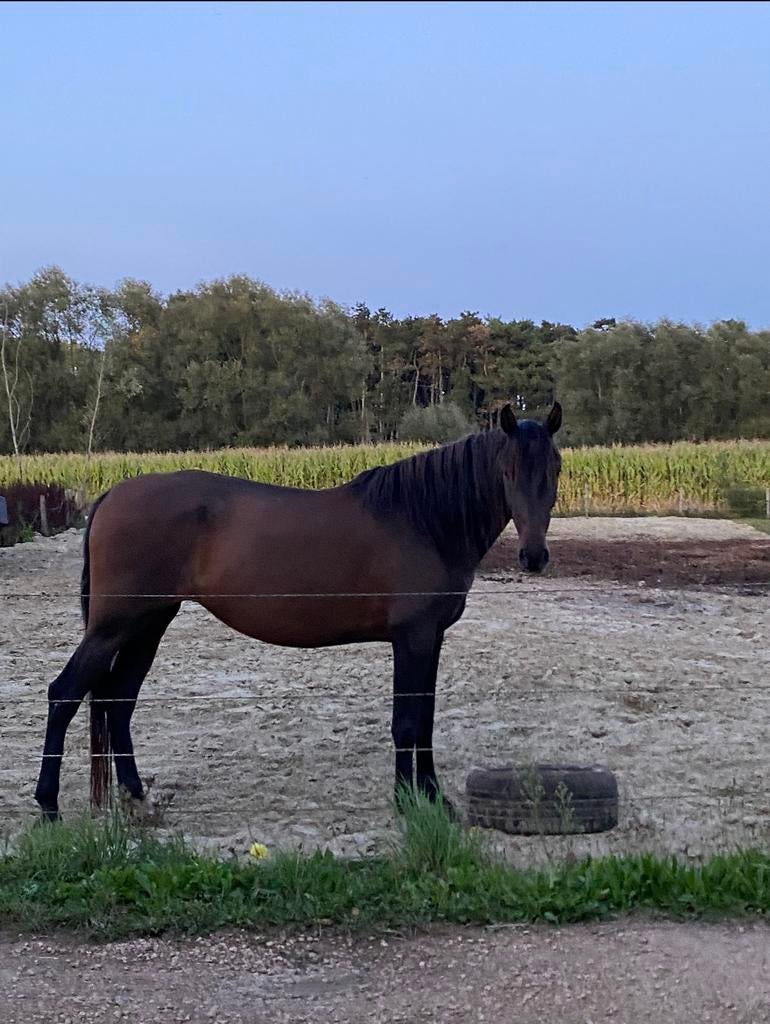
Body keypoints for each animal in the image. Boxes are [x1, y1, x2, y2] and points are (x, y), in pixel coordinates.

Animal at [34, 402, 562, 821]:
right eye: (509, 471)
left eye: (555, 470)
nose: (534, 556)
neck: (424, 519)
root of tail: (110, 496)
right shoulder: (412, 637)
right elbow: (407, 721)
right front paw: (406, 801)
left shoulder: (431, 638)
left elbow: (425, 716)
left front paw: (433, 798)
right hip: (115, 627)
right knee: (65, 695)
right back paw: (49, 806)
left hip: (148, 624)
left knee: (117, 701)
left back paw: (136, 797)